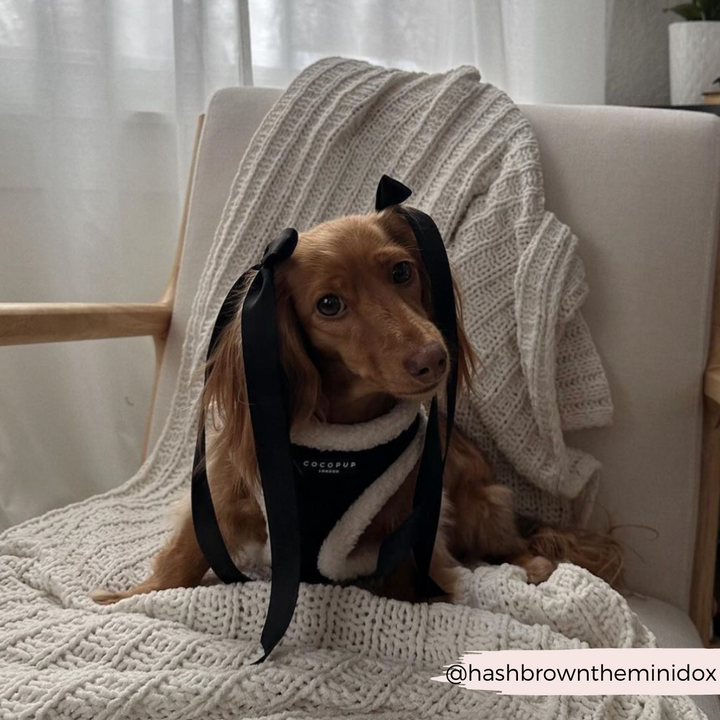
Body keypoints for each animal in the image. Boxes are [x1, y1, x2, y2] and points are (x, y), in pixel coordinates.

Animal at [93, 208, 620, 608]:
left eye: (401, 272)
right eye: (329, 304)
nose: (435, 358)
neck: (337, 438)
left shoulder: (411, 518)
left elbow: (408, 579)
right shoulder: (227, 489)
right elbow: (183, 555)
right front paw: (129, 599)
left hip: (477, 505)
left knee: (519, 545)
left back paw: (531, 565)